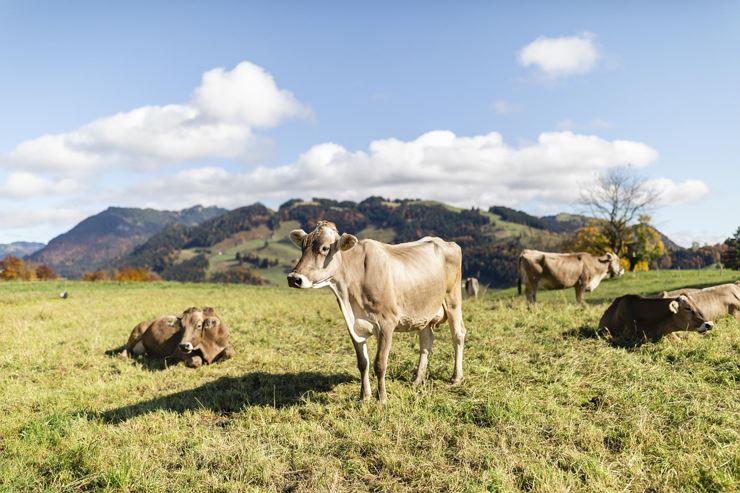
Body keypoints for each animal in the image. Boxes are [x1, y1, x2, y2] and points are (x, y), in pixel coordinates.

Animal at [288, 219, 466, 400]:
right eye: (302, 246)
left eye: (324, 248)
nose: (294, 278)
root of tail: (443, 241)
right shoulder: (353, 327)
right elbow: (362, 363)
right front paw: (364, 396)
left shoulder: (387, 323)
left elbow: (380, 363)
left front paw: (382, 398)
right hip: (424, 312)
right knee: (426, 341)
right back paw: (417, 380)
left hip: (453, 300)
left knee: (458, 335)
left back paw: (456, 377)